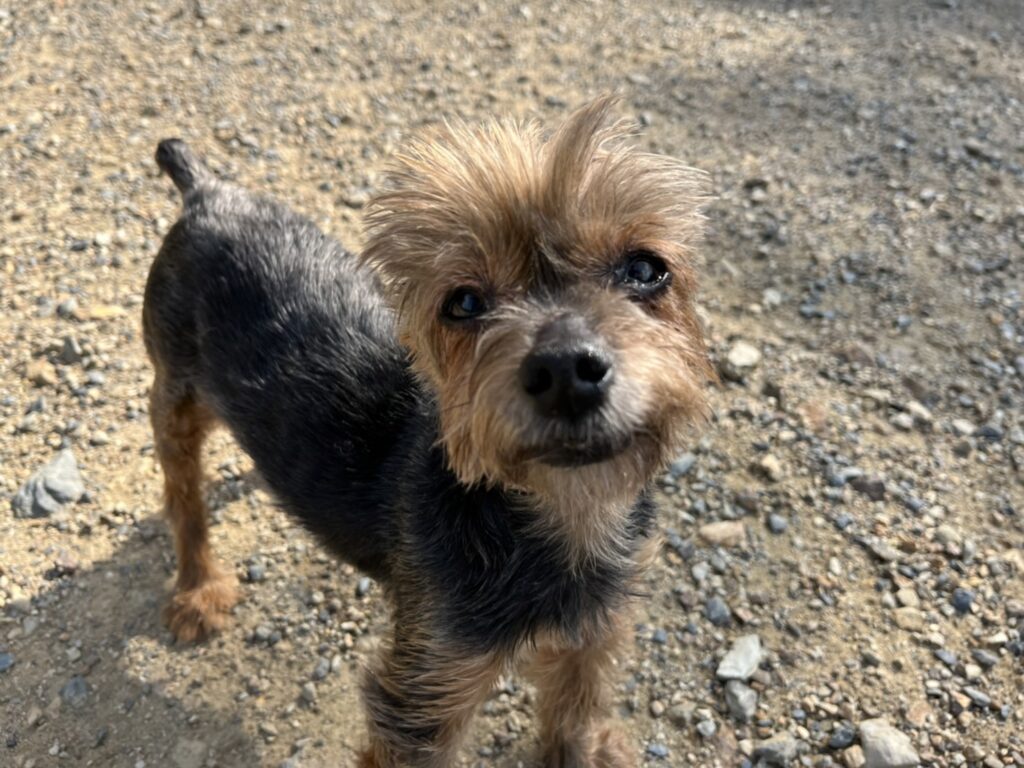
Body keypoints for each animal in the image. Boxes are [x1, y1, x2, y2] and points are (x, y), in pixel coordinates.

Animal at [143, 96, 712, 767]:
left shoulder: (594, 627)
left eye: (646, 268)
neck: (560, 513)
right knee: (182, 491)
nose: (566, 367)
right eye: (463, 303)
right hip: (176, 389)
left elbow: (573, 716)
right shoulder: (426, 689)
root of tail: (204, 193)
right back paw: (198, 589)